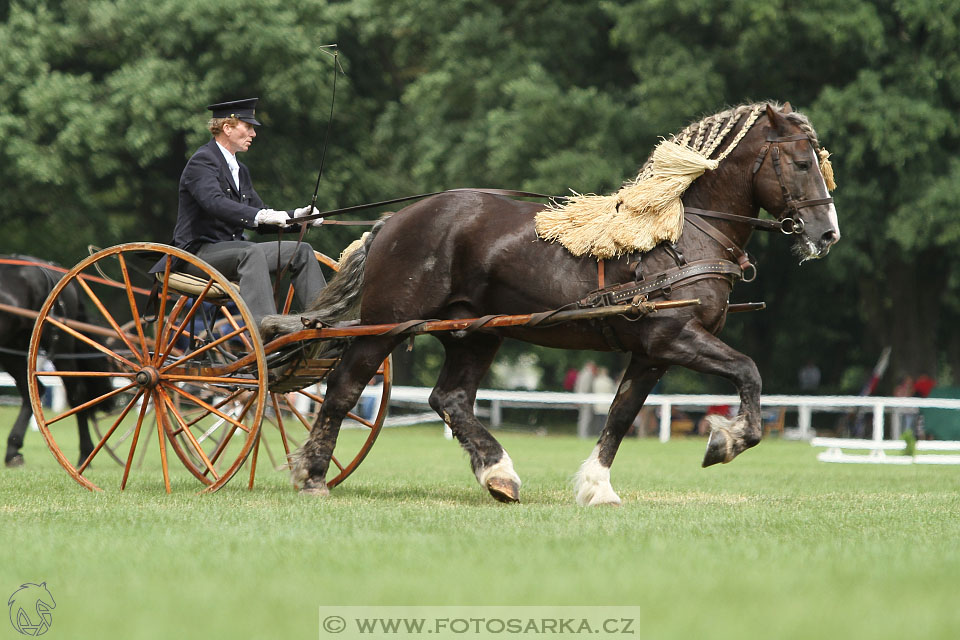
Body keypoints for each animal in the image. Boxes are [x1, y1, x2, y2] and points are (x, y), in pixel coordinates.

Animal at [1, 254, 114, 464]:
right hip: (13, 348)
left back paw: (85, 453)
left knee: (77, 395)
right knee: (33, 390)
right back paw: (13, 449)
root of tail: (52, 268)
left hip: (61, 347)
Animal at [262, 102, 840, 504]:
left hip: (477, 333)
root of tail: (394, 221)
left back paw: (499, 474)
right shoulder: (674, 338)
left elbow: (621, 414)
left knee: (450, 399)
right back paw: (313, 475)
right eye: (799, 162)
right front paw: (728, 441)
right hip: (387, 325)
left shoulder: (651, 353)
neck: (682, 232)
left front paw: (597, 486)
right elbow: (748, 372)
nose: (827, 233)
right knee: (343, 389)